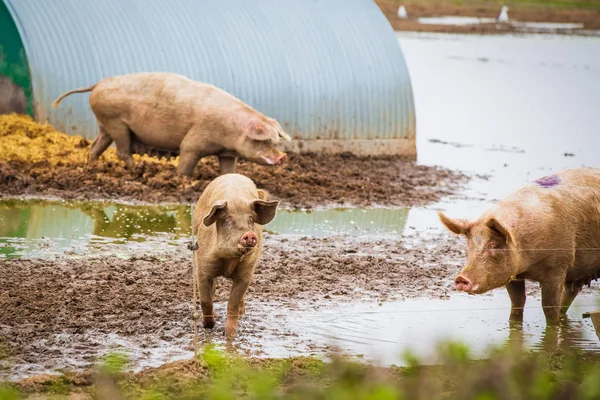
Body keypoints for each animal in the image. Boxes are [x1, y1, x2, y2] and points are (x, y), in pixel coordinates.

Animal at [52, 71, 292, 177]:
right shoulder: (194, 140)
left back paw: (90, 168)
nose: (283, 157)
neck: (230, 133)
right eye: (265, 141)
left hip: (105, 123)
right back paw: (137, 170)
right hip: (115, 122)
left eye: (275, 140)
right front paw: (183, 182)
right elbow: (186, 157)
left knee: (96, 146)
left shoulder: (227, 153)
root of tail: (97, 84)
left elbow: (227, 169)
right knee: (121, 150)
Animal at [192, 172, 278, 338]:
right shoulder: (203, 266)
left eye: (250, 219)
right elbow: (205, 300)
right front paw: (209, 326)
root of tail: (233, 174)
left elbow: (233, 303)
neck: (229, 259)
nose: (249, 234)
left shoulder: (246, 272)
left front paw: (230, 335)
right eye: (228, 220)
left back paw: (243, 312)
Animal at [436, 167, 600, 326]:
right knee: (571, 293)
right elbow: (517, 303)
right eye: (469, 245)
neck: (527, 265)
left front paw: (553, 327)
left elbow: (549, 309)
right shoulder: (513, 276)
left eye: (494, 245)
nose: (461, 278)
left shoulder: (557, 268)